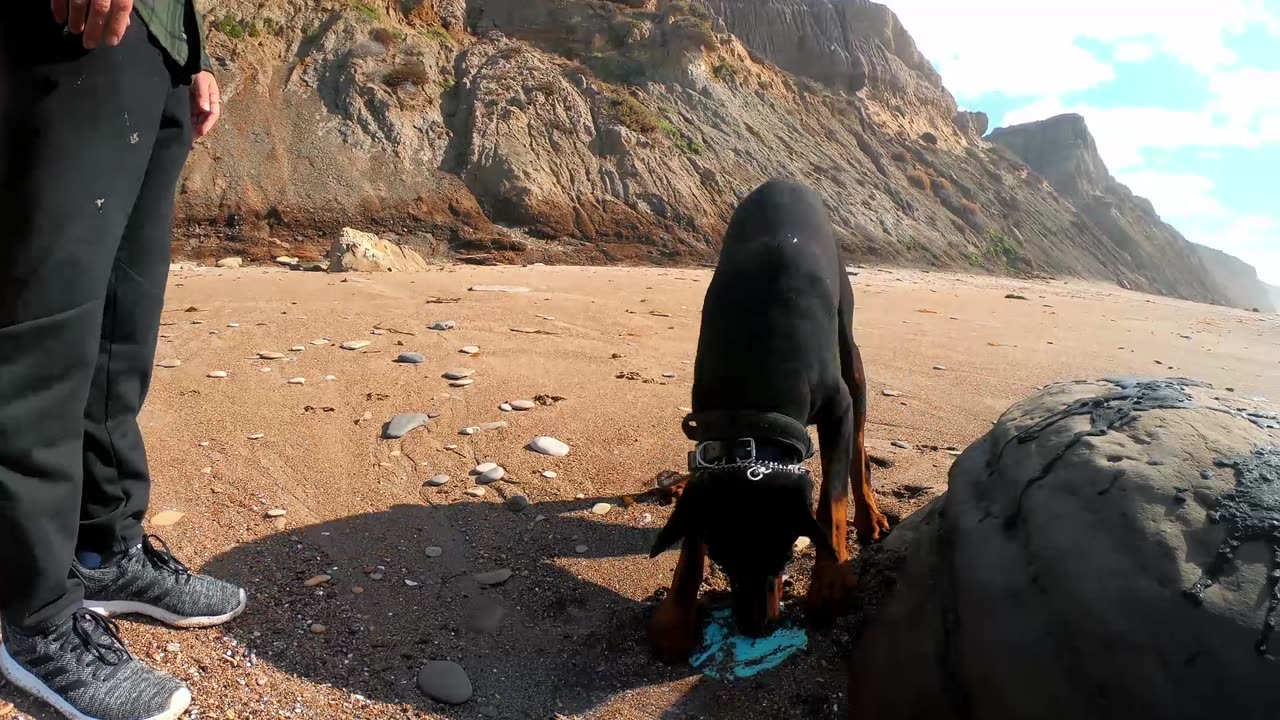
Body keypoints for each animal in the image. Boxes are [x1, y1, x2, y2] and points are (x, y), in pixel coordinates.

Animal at [645, 178, 885, 661]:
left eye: (784, 555)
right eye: (722, 559)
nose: (754, 628)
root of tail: (785, 181)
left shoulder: (837, 406)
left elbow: (831, 498)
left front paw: (830, 584)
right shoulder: (709, 427)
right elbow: (695, 519)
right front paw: (676, 615)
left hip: (849, 345)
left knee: (859, 440)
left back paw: (869, 514)